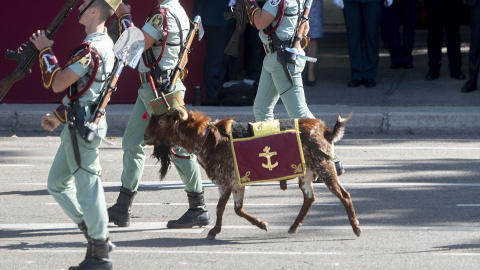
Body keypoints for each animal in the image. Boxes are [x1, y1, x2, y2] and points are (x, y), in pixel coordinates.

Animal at [144, 107, 362, 240]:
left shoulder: (226, 181)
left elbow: (221, 208)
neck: (207, 140)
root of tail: (326, 131)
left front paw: (213, 231)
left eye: (161, 122)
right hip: (306, 173)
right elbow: (237, 209)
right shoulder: (237, 183)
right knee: (309, 198)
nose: (145, 135)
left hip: (324, 166)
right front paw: (262, 224)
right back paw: (293, 226)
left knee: (344, 195)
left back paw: (356, 228)